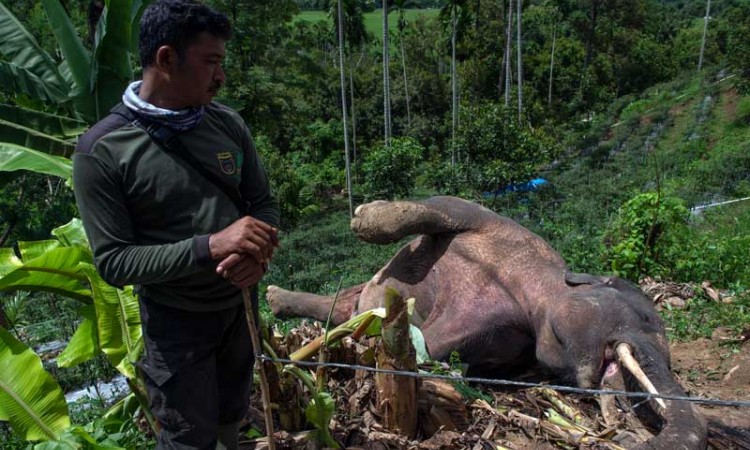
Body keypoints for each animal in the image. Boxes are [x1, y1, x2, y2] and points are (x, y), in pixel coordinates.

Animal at [270, 195, 712, 448]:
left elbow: (439, 351)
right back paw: (276, 297)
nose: (625, 431)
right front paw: (361, 217)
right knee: (349, 300)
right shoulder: (492, 221)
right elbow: (444, 206)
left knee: (347, 310)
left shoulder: (508, 335)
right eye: (646, 316)